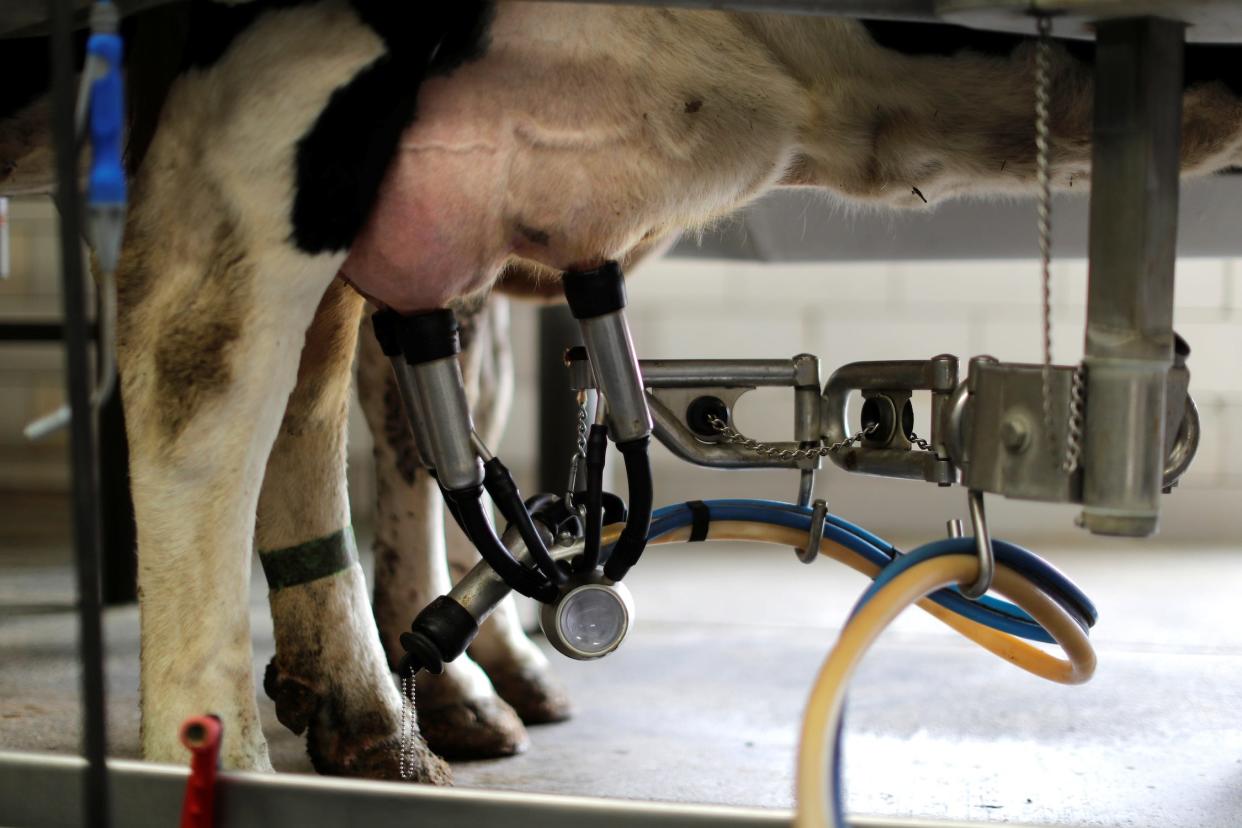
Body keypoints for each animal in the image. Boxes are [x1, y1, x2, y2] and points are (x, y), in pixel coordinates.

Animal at [2, 0, 1242, 784]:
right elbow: (227, 388)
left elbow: (401, 404)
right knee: (212, 377)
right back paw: (254, 740)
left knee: (332, 386)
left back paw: (389, 702)